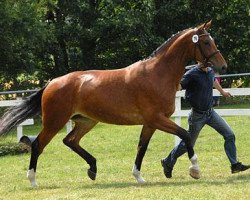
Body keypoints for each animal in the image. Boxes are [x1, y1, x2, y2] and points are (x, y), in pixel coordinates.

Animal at [0, 21, 227, 187]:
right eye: (206, 43)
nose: (222, 65)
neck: (157, 74)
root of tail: (52, 82)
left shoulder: (150, 123)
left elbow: (142, 147)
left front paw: (139, 176)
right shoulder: (157, 119)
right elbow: (186, 135)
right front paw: (195, 170)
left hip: (86, 121)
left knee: (70, 141)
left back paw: (93, 168)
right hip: (54, 122)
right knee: (38, 144)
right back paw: (33, 181)